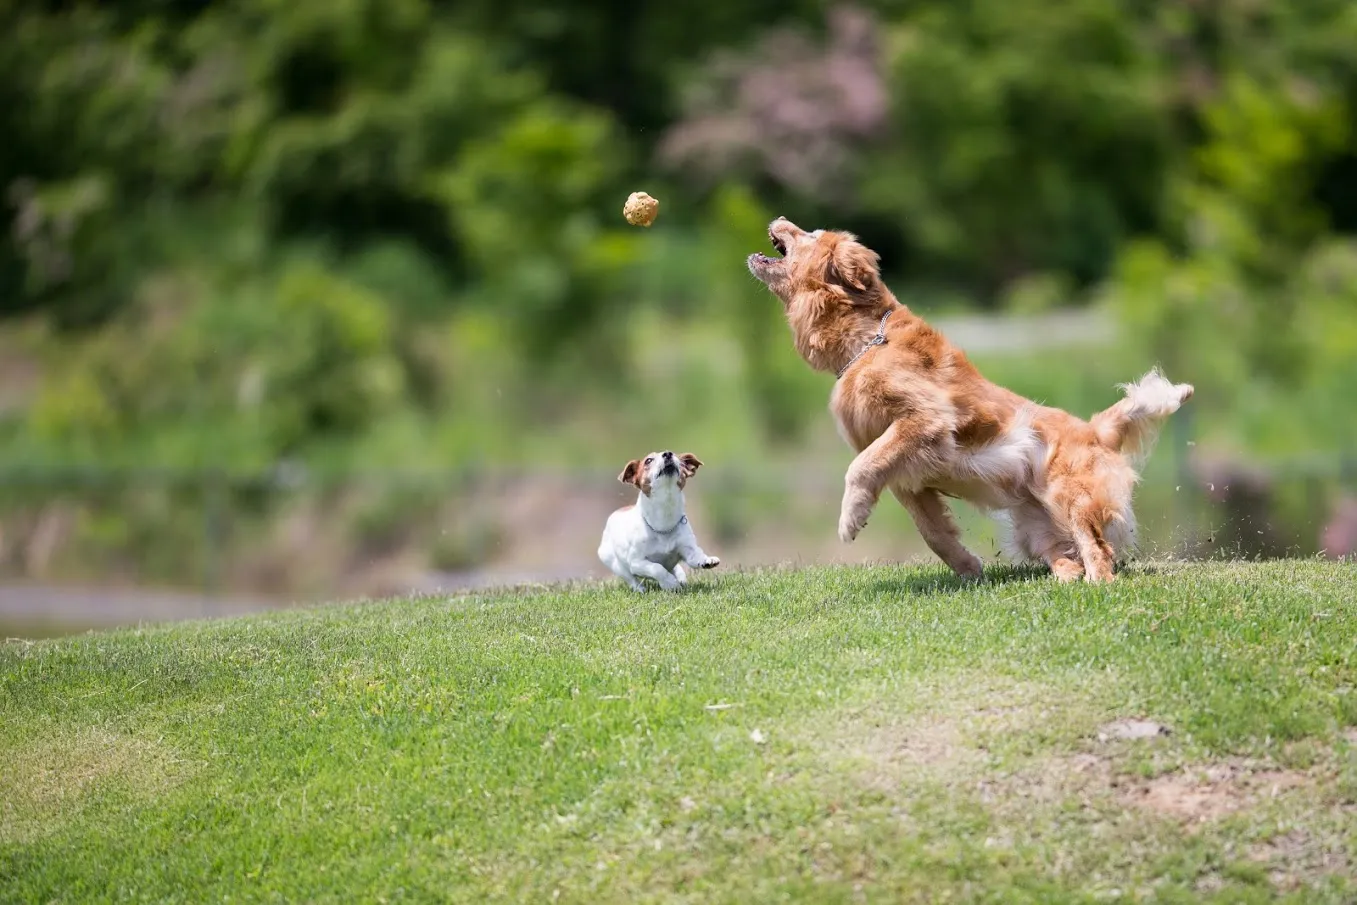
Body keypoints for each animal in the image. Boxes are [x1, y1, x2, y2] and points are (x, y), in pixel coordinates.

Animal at [597, 450, 721, 591]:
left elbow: (695, 557)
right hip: (613, 562)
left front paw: (706, 560)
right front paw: (670, 583)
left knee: (677, 569)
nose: (668, 454)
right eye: (648, 460)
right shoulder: (637, 562)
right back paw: (641, 589)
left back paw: (682, 580)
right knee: (631, 578)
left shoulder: (688, 549)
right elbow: (657, 568)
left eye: (676, 456)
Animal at [749, 222, 1194, 583]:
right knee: (1064, 554)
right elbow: (933, 532)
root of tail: (1094, 429)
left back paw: (1097, 582)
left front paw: (850, 520)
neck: (867, 344)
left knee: (1099, 547)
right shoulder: (905, 477)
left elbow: (859, 469)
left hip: (1071, 494)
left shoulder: (924, 421)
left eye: (810, 233)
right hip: (1033, 527)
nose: (780, 218)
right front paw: (967, 568)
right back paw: (1067, 575)